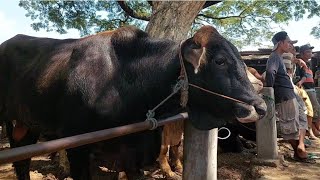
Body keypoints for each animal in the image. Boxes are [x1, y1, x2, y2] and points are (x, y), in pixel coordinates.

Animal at [0, 26, 266, 179]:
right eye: (220, 60)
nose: (260, 106)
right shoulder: (76, 145)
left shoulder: (134, 153)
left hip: (27, 126)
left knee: (22, 163)